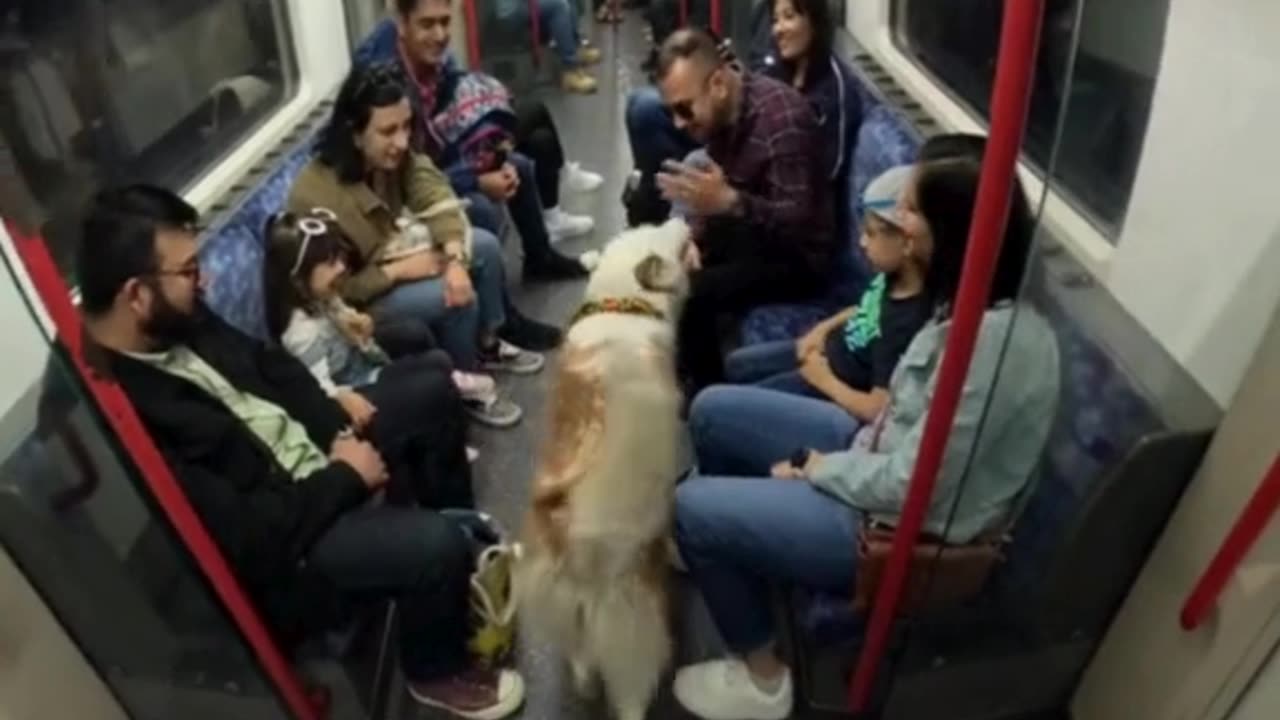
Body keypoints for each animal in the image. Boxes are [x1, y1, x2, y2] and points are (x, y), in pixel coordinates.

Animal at [512, 217, 691, 717]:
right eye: (665, 234)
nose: (682, 217)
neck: (625, 304)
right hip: (634, 616)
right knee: (630, 693)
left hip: (571, 608)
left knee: (581, 658)